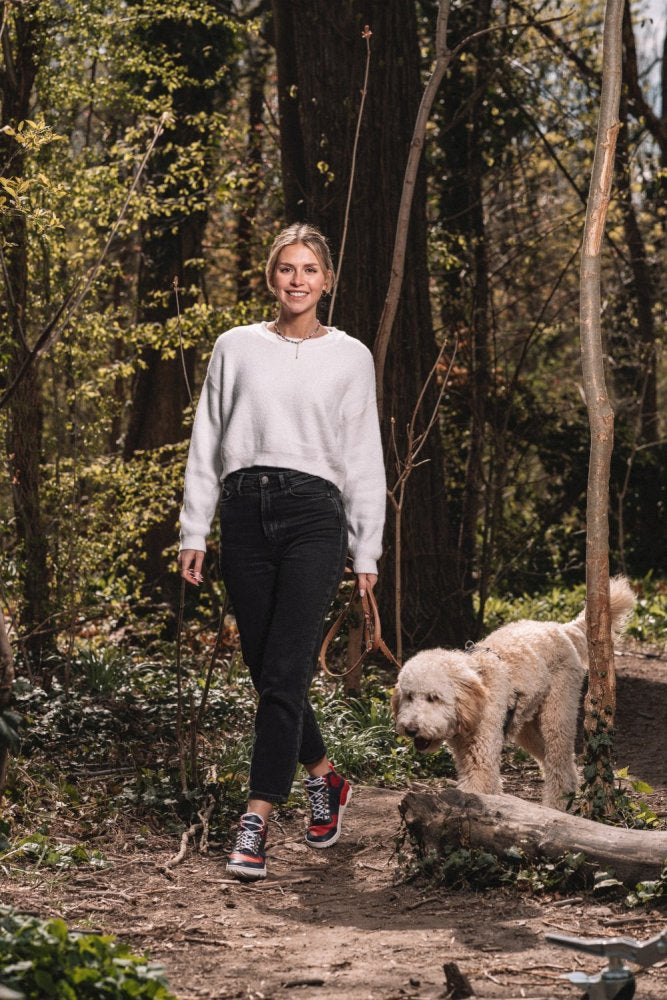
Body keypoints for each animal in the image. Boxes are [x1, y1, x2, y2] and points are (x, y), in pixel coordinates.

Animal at [392, 580, 636, 812]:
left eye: (433, 697)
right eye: (409, 696)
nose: (411, 728)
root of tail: (559, 628)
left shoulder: (481, 759)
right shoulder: (468, 755)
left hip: (557, 715)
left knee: (560, 764)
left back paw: (556, 805)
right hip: (527, 728)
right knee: (561, 763)